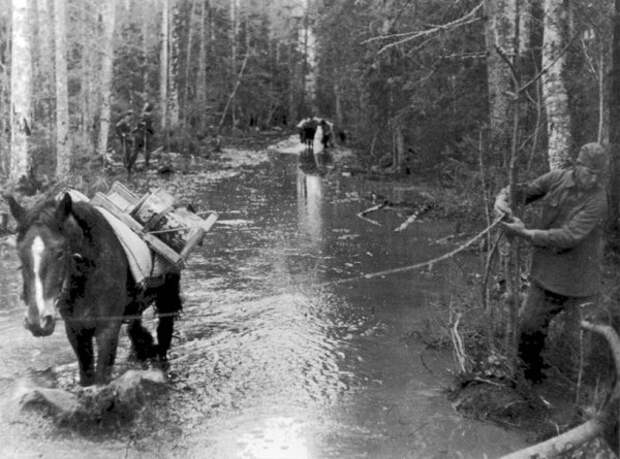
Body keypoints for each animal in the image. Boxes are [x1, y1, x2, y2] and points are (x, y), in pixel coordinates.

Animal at [5, 183, 216, 388]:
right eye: (20, 253)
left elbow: (101, 379)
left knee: (164, 337)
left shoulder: (108, 330)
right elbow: (86, 378)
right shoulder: (75, 330)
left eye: (60, 252)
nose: (38, 322)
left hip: (167, 298)